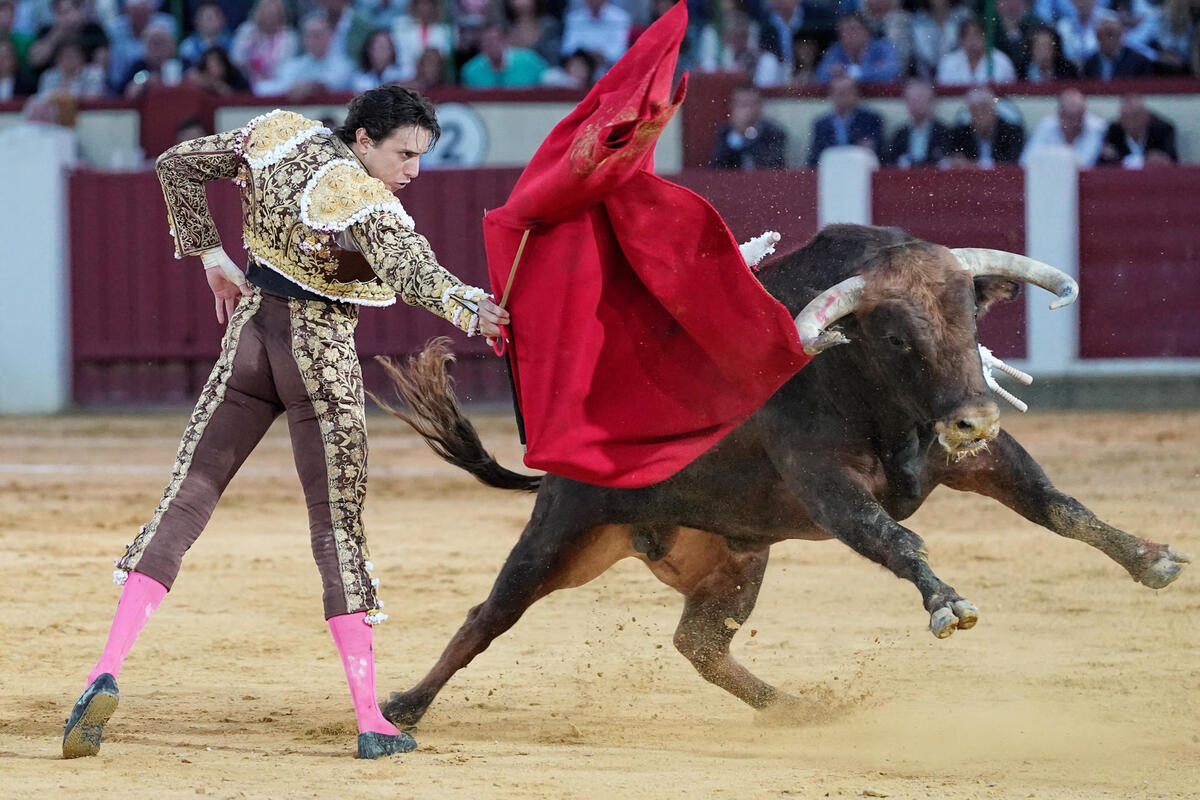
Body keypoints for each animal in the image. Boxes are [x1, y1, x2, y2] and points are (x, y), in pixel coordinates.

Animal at [376, 221, 1190, 724]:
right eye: (896, 336)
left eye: (971, 316)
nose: (974, 417)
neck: (871, 391)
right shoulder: (828, 487)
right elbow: (896, 540)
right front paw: (948, 605)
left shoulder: (971, 458)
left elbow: (1058, 505)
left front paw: (1151, 559)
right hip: (562, 533)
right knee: (488, 617)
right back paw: (405, 707)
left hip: (735, 556)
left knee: (702, 644)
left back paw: (800, 709)